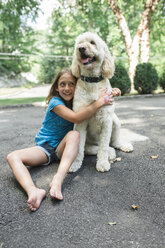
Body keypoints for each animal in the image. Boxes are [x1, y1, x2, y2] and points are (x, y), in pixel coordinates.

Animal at [69, 32, 133, 172]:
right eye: (79, 43)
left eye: (92, 42)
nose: (81, 48)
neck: (92, 81)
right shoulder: (80, 121)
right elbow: (79, 149)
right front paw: (75, 164)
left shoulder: (106, 120)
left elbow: (103, 146)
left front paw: (102, 163)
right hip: (89, 144)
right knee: (98, 148)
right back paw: (111, 153)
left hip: (115, 121)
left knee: (113, 143)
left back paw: (122, 146)